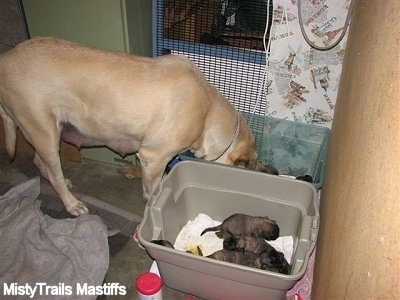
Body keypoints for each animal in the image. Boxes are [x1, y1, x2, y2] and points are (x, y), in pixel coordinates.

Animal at [0, 37, 262, 216]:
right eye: (249, 164)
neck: (208, 109)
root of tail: (5, 58)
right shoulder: (153, 156)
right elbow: (154, 186)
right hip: (44, 131)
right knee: (52, 171)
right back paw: (72, 203)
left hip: (45, 132)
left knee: (40, 162)